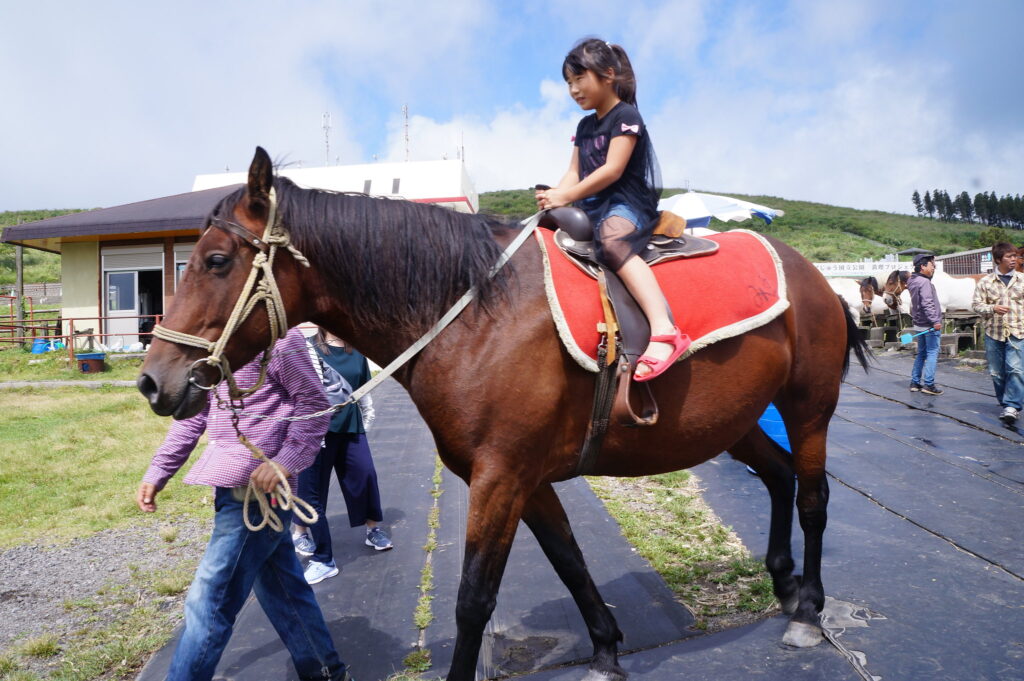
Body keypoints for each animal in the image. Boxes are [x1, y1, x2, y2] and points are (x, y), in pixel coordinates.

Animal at [136, 148, 872, 679]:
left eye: (217, 260)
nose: (152, 380)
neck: (476, 314)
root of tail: (815, 276)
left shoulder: (501, 477)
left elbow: (473, 599)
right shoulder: (526, 477)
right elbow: (569, 559)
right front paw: (606, 650)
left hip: (807, 409)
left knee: (813, 498)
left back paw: (809, 609)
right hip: (736, 422)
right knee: (778, 477)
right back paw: (784, 584)